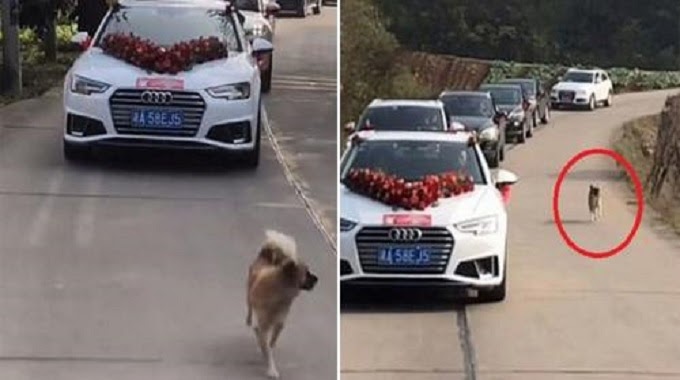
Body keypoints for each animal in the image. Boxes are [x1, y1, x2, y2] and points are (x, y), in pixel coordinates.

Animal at [246, 230, 318, 378]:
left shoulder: (280, 321)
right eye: (306, 273)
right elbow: (266, 345)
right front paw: (271, 368)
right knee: (249, 309)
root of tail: (265, 253)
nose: (318, 279)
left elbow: (272, 341)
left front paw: (268, 349)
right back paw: (249, 320)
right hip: (248, 294)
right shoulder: (263, 324)